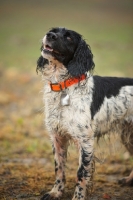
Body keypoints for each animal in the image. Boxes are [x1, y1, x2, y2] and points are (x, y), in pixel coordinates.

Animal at [36, 27, 133, 200]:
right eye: (53, 31)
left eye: (68, 37)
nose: (50, 35)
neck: (64, 86)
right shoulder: (57, 137)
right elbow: (59, 169)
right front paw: (55, 192)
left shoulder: (85, 141)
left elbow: (81, 174)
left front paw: (78, 197)